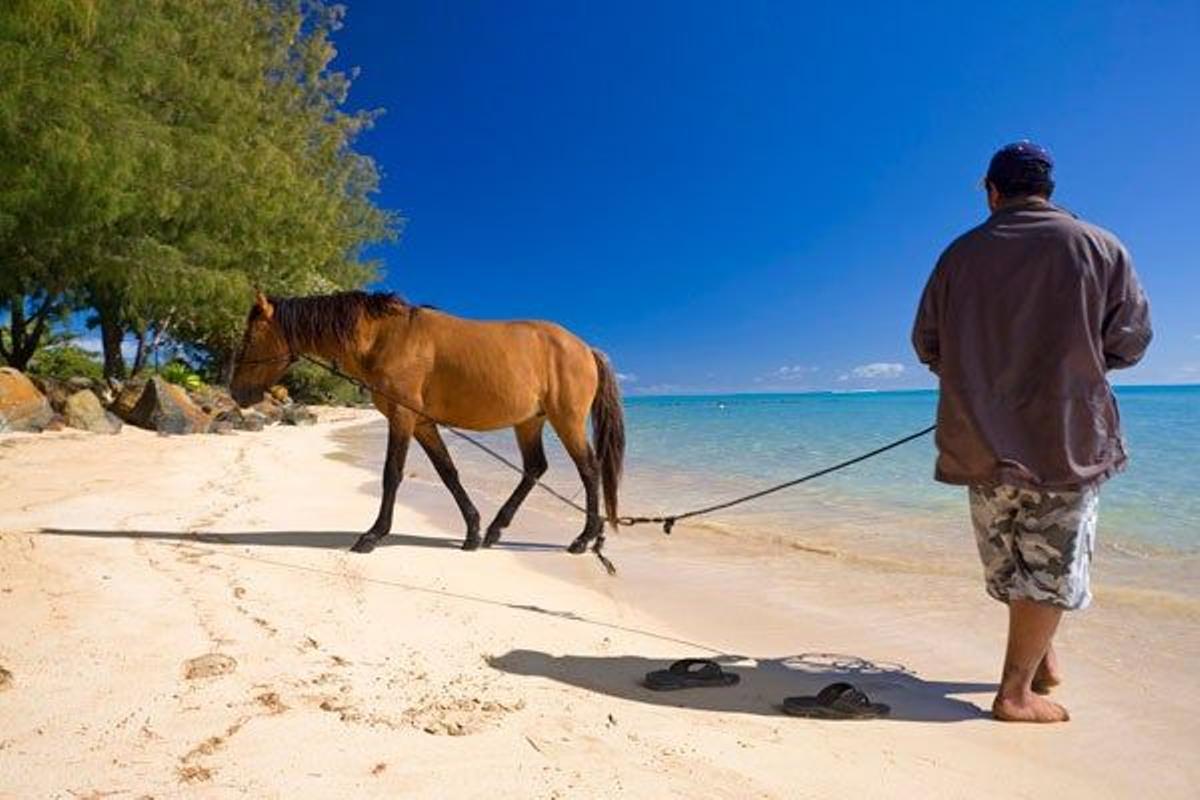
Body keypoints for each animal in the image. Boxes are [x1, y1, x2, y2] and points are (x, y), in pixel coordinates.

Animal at [226, 291, 628, 561]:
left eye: (250, 336)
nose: (236, 391)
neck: (385, 337)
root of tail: (585, 348)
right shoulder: (421, 422)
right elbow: (448, 472)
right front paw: (472, 530)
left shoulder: (403, 418)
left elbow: (392, 473)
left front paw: (373, 535)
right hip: (530, 421)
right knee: (535, 468)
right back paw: (496, 529)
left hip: (566, 420)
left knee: (589, 470)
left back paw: (584, 538)